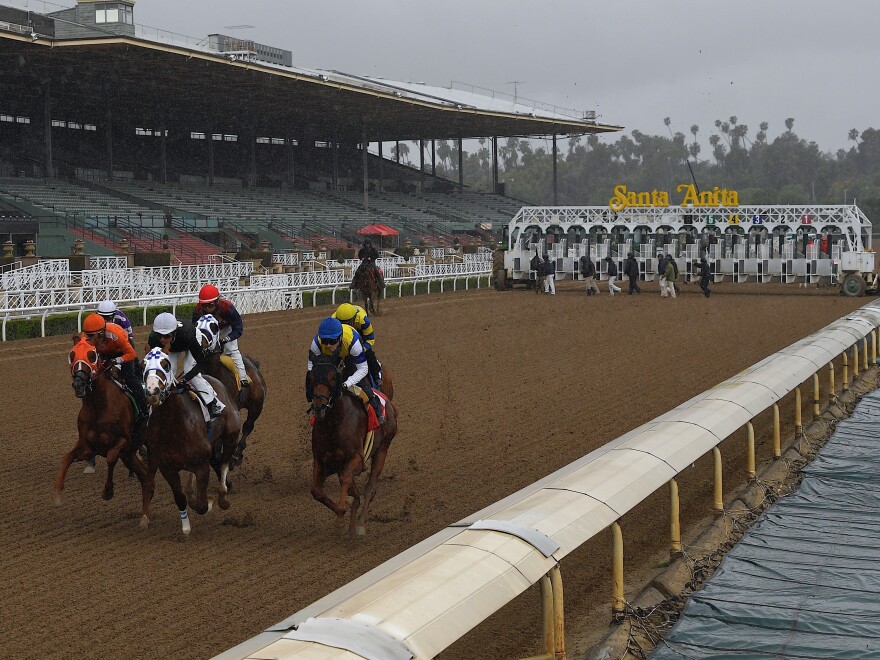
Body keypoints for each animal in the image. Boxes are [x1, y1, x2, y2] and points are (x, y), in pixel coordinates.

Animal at [54, 336, 147, 506]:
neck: (99, 407)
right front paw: (57, 493)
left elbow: (111, 458)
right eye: (72, 354)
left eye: (92, 355)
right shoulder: (88, 446)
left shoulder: (124, 440)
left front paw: (108, 491)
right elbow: (66, 458)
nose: (78, 384)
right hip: (129, 454)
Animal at [142, 348, 244, 532]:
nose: (152, 391)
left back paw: (223, 497)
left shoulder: (202, 465)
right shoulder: (167, 468)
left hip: (231, 435)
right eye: (143, 364)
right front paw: (186, 527)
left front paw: (209, 503)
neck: (173, 425)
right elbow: (180, 498)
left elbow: (202, 505)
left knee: (224, 464)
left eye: (165, 364)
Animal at [306, 356, 396, 536]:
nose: (319, 407)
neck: (334, 424)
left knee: (370, 488)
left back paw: (360, 524)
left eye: (333, 378)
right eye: (311, 378)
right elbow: (317, 491)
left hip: (382, 448)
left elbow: (347, 480)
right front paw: (344, 510)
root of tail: (390, 405)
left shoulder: (357, 460)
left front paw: (341, 518)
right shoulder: (322, 462)